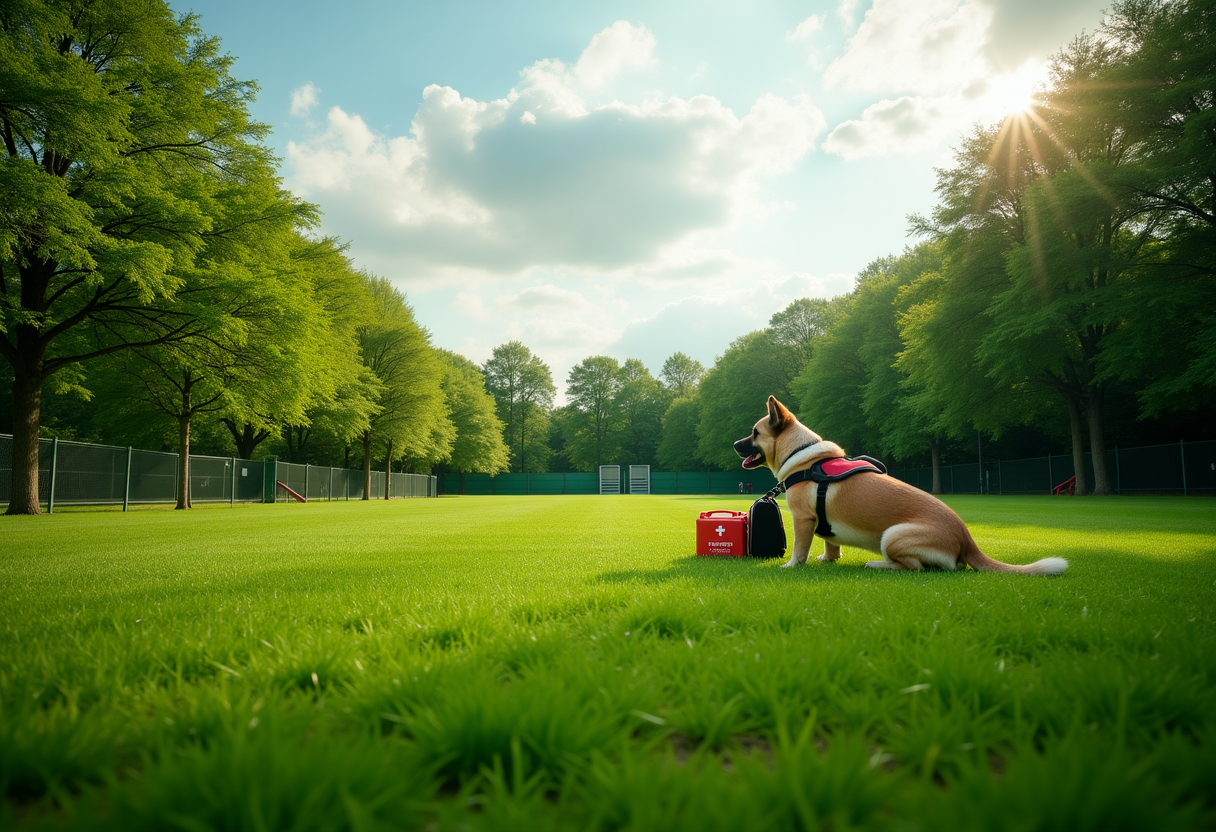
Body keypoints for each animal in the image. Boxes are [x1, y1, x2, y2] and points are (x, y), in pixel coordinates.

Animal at [729, 396, 1065, 571]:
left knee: (916, 568)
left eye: (755, 433)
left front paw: (792, 565)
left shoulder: (803, 520)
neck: (803, 457)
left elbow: (800, 549)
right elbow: (830, 542)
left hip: (892, 536)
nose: (734, 443)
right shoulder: (822, 522)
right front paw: (828, 559)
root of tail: (967, 539)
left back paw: (878, 565)